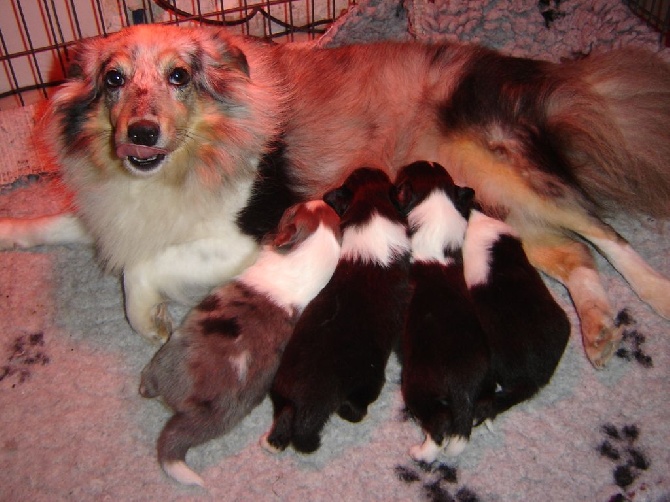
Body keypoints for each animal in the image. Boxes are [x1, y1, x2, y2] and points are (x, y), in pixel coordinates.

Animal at [1, 23, 670, 366]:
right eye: (113, 78)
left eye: (179, 76)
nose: (141, 134)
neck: (174, 169)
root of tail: (541, 74)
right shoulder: (108, 213)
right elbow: (52, 225)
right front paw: (11, 230)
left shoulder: (251, 229)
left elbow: (144, 267)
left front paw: (151, 321)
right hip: (490, 202)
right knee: (573, 253)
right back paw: (599, 330)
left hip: (508, 169)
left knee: (605, 232)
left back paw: (654, 295)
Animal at [140, 200, 344, 486]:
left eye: (292, 210)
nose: (319, 199)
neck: (298, 271)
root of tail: (204, 412)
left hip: (166, 358)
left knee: (149, 382)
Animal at [396, 161, 496, 462]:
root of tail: (465, 388)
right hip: (487, 387)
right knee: (483, 409)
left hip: (417, 385)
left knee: (438, 424)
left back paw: (420, 453)